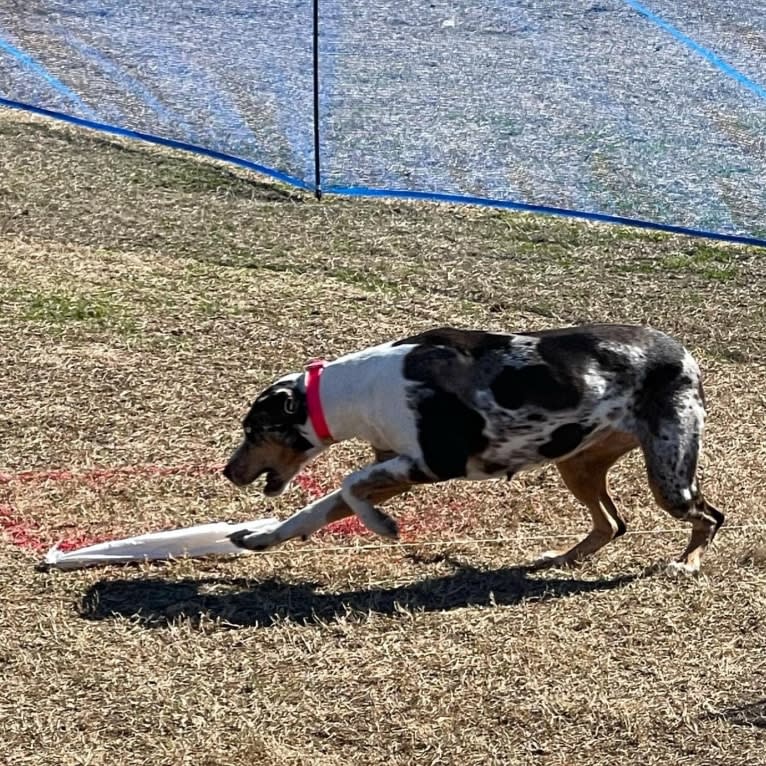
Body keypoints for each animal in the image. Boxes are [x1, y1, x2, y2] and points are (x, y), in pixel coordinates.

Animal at [222, 320, 728, 572]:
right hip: (577, 465)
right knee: (612, 524)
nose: (227, 472)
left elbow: (347, 484)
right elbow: (317, 508)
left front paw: (384, 527)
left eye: (253, 430)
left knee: (711, 516)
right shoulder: (396, 468)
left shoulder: (432, 464)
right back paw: (559, 558)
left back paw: (687, 565)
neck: (357, 391)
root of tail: (684, 353)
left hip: (669, 479)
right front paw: (261, 537)